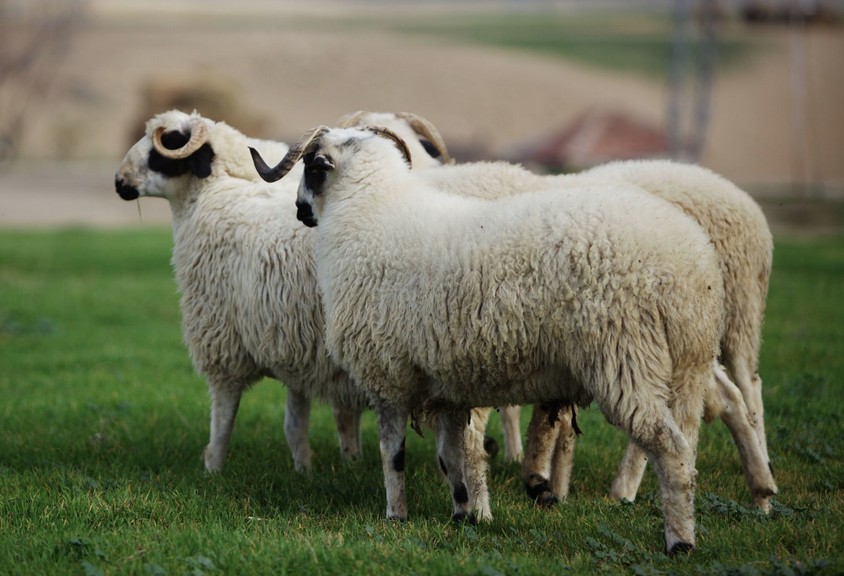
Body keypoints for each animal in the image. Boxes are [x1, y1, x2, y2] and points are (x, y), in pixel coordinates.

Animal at [247, 126, 724, 552]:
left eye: (311, 165)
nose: (300, 211)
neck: (368, 214)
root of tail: (689, 264)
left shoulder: (389, 377)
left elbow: (393, 454)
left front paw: (396, 515)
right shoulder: (444, 384)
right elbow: (452, 456)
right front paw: (462, 514)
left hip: (626, 357)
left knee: (671, 451)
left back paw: (679, 542)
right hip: (688, 367)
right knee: (688, 449)